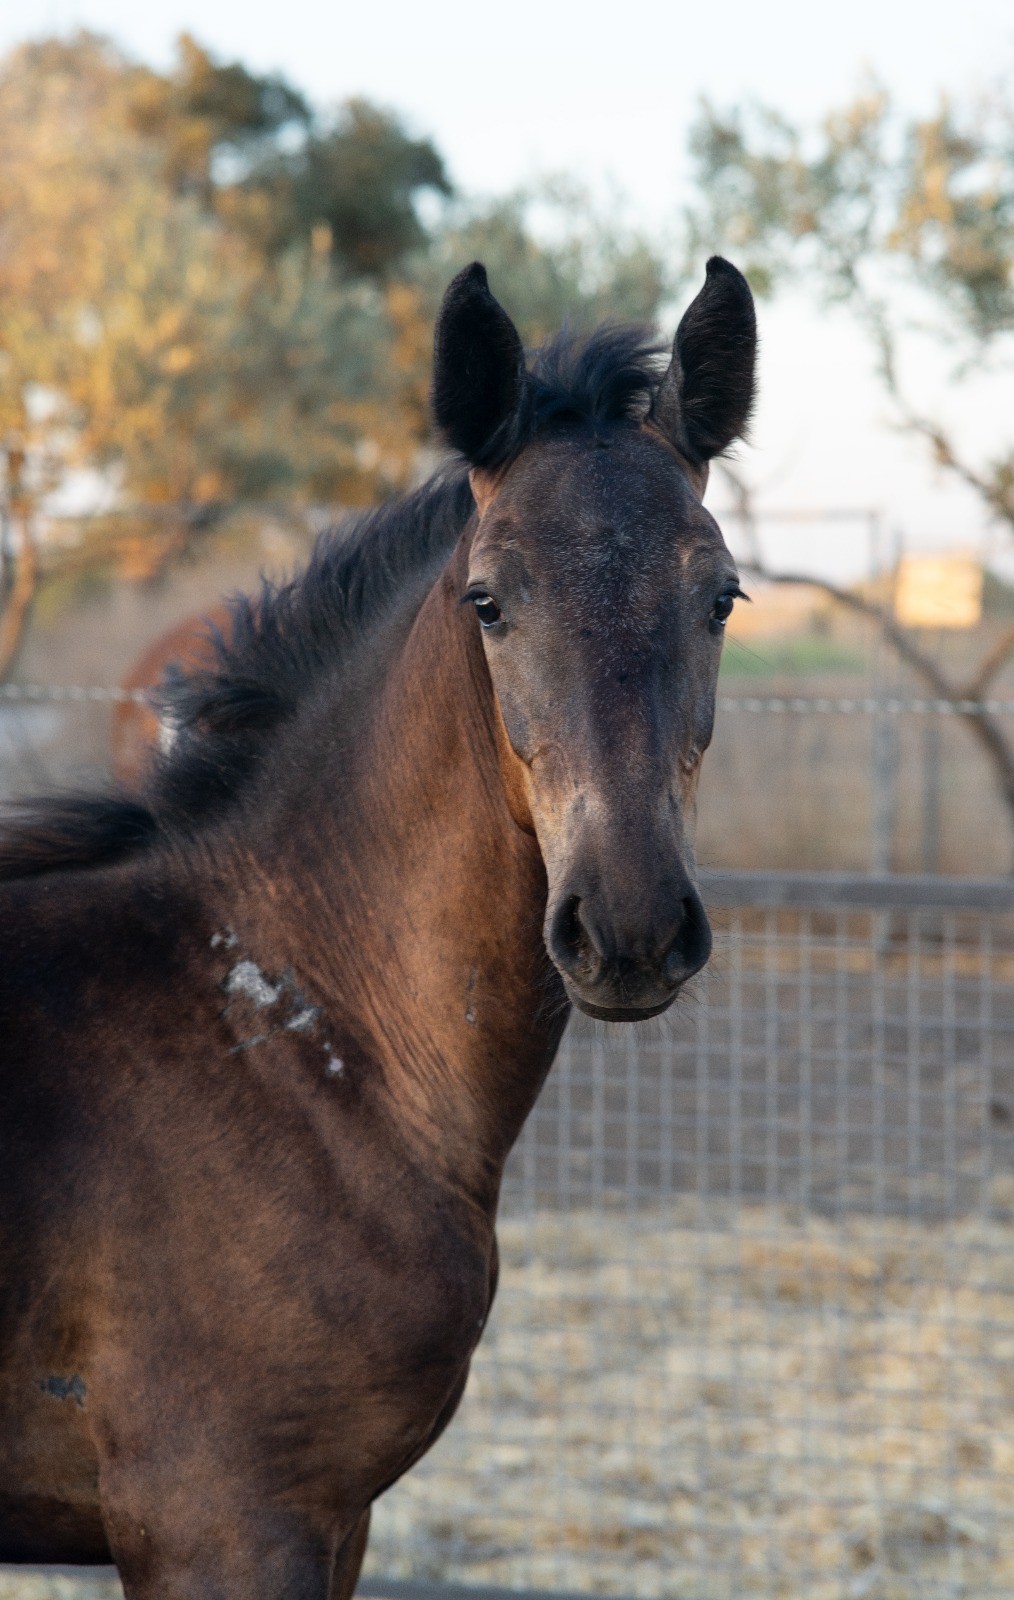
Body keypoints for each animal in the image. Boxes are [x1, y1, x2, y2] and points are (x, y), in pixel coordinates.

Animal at [0, 257, 756, 1598]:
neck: (294, 1033)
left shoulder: (331, 1520)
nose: (627, 924)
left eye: (720, 597)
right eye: (488, 601)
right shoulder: (222, 1515)